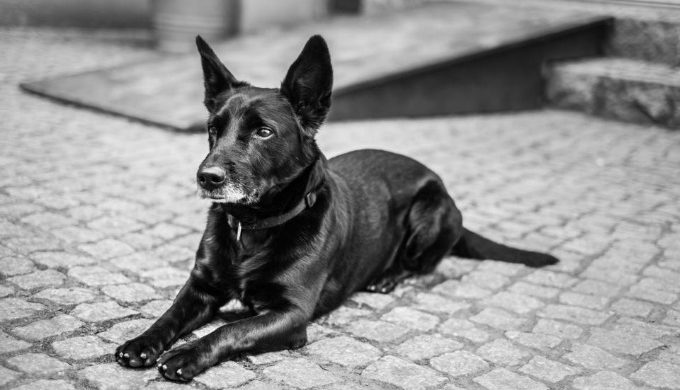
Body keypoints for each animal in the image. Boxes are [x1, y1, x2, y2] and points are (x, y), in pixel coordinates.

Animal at [113, 34, 556, 380]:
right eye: (213, 129)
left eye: (263, 132)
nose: (207, 177)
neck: (254, 228)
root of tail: (439, 183)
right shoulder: (201, 287)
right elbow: (169, 314)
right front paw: (142, 342)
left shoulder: (290, 315)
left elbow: (228, 331)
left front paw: (187, 354)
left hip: (428, 213)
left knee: (423, 264)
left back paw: (387, 277)